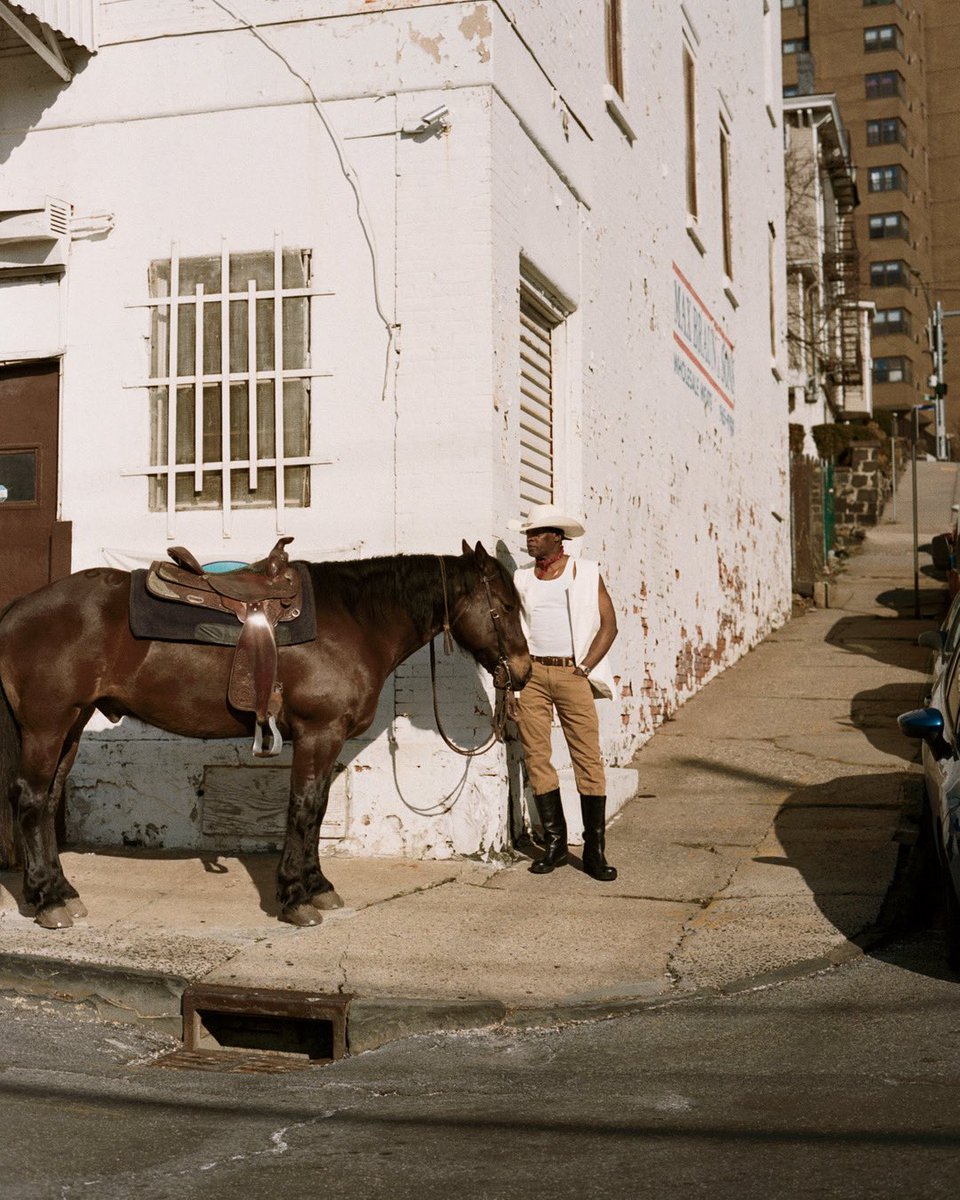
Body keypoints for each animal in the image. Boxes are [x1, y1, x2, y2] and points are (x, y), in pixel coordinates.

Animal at [0, 542, 532, 926]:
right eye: (506, 606)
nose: (524, 671)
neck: (356, 618)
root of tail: (17, 609)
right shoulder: (319, 733)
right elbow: (304, 808)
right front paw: (296, 897)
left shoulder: (327, 740)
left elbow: (317, 810)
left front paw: (318, 887)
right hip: (47, 726)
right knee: (30, 800)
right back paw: (47, 901)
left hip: (71, 724)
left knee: (47, 801)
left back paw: (60, 891)